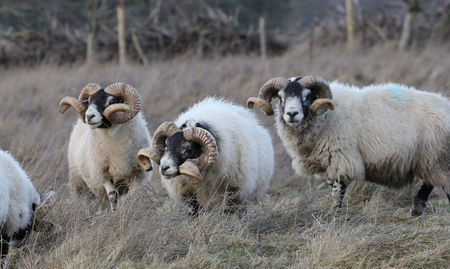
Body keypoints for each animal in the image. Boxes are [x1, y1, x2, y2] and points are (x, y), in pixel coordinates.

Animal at [59, 82, 153, 210]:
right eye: (89, 101)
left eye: (111, 101)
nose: (89, 116)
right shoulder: (102, 175)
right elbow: (112, 196)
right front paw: (115, 212)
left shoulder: (138, 175)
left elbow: (131, 197)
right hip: (79, 183)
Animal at [136, 96, 274, 216]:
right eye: (166, 146)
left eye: (188, 149)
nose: (164, 168)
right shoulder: (190, 195)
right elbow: (195, 212)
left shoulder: (233, 191)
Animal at [248, 75, 450, 216]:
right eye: (280, 97)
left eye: (307, 96)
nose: (291, 114)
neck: (326, 115)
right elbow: (332, 185)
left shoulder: (340, 156)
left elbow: (337, 188)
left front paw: (333, 213)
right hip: (430, 159)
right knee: (429, 183)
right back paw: (416, 210)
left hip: (437, 157)